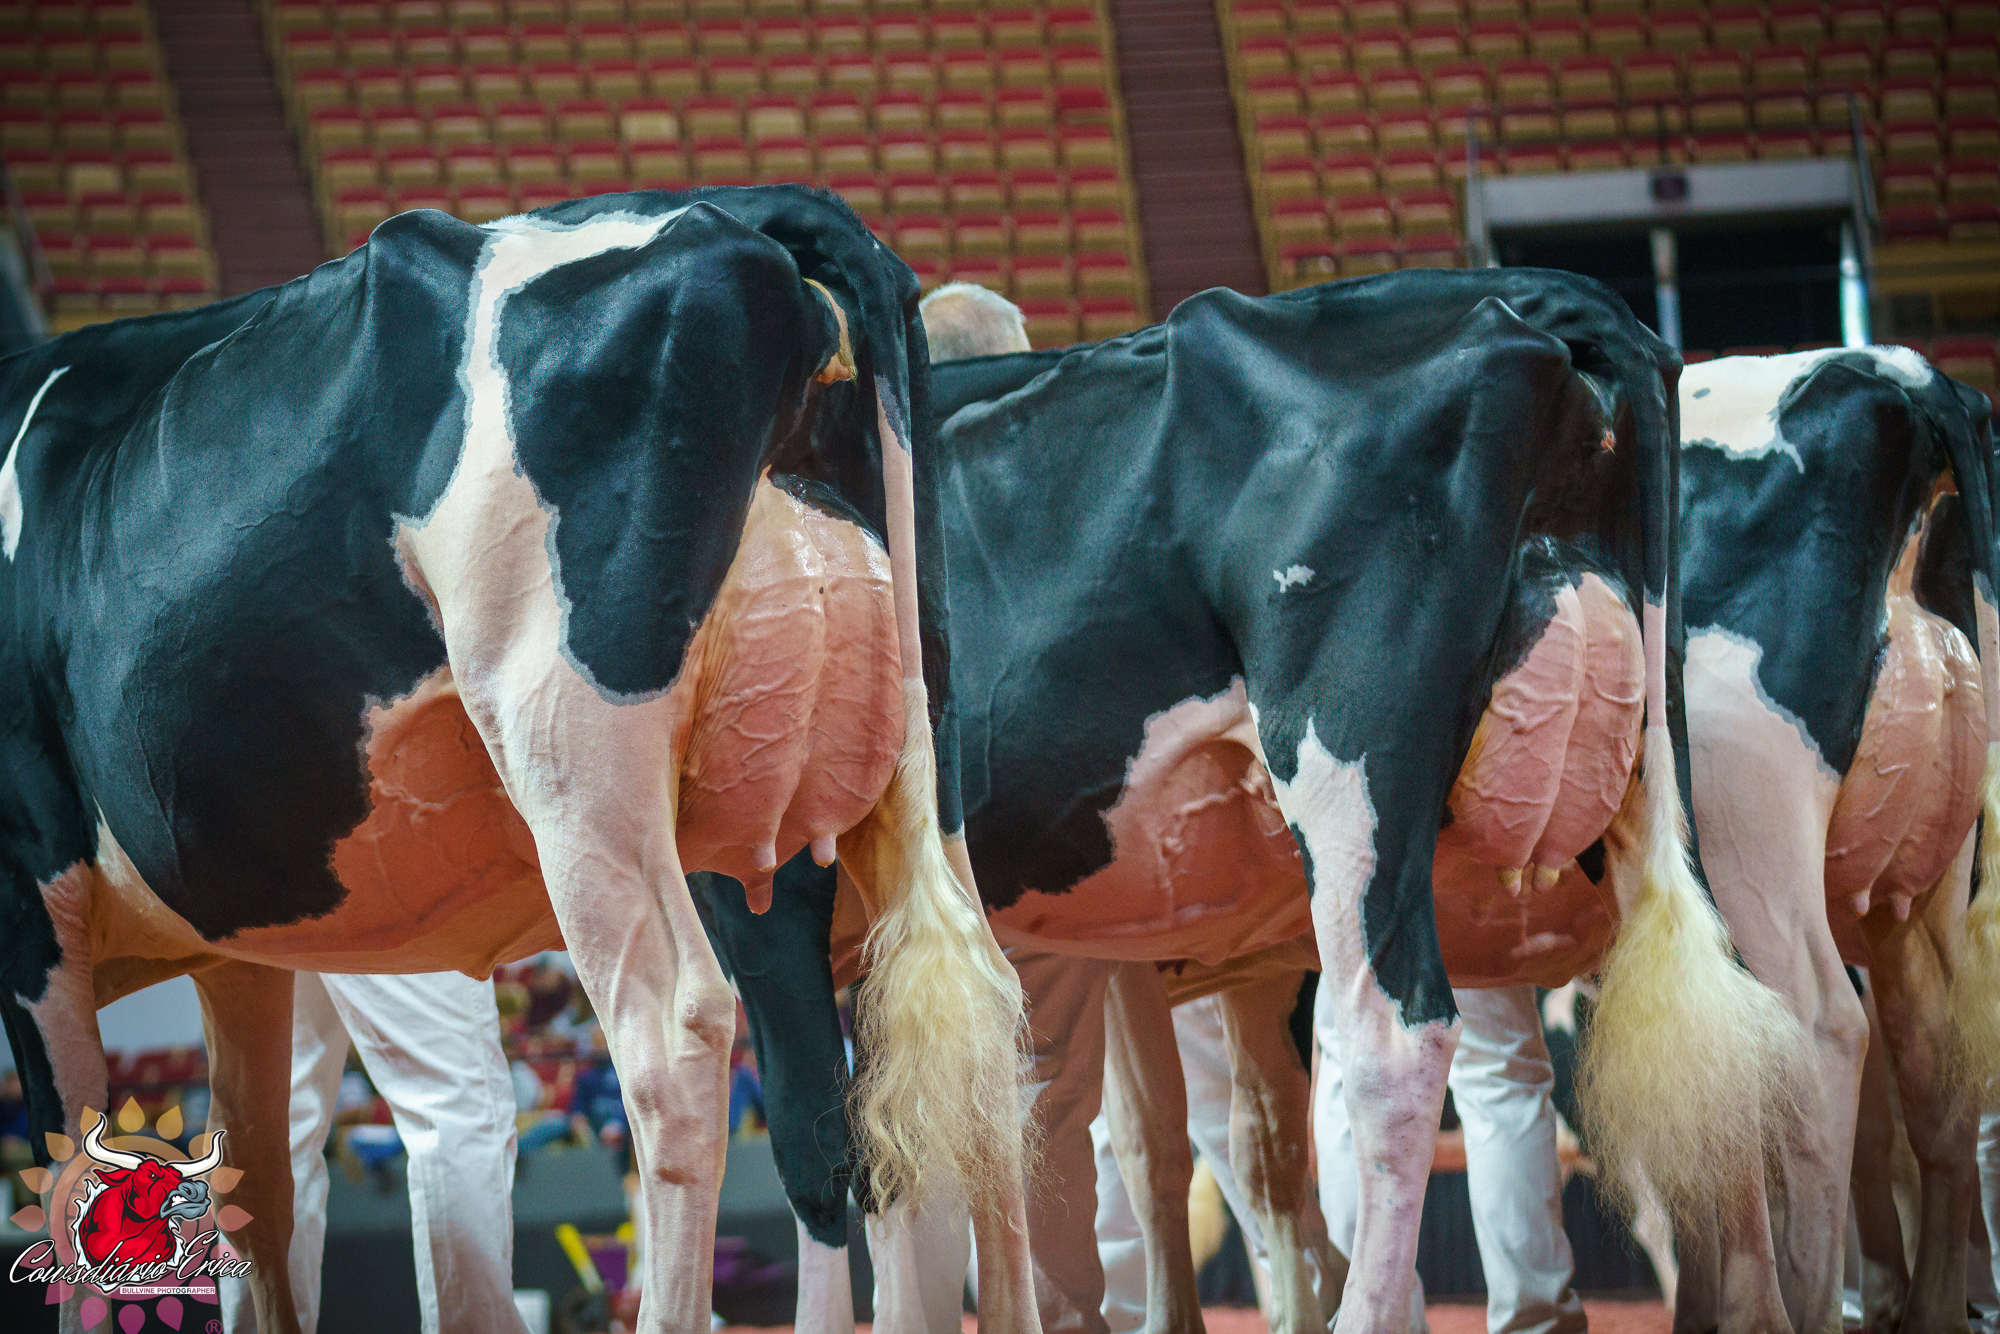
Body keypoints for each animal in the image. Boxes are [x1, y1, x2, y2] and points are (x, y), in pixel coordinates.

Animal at [0, 185, 1040, 1334]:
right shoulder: (235, 955)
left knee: (680, 1039)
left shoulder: (29, 903)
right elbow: (253, 1180)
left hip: (573, 750)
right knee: (969, 1026)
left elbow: (72, 1167)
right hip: (914, 754)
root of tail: (752, 206)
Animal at [705, 270, 1813, 1334]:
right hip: (1653, 789)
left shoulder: (765, 890)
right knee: (1720, 1029)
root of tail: (1549, 296)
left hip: (1349, 773)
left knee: (1393, 1041)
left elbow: (825, 1152)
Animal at [1669, 350, 2000, 1334]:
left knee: (1814, 1032)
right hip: (1921, 880)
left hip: (1741, 834)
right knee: (1933, 1061)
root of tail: (1903, 371)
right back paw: (1929, 1308)